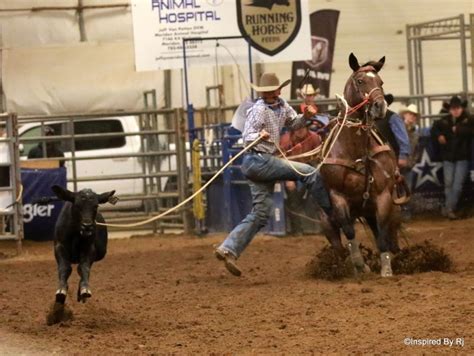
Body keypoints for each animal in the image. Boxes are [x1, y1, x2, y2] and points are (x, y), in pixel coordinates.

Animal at [318, 52, 408, 276]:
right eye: (360, 81)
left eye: (380, 82)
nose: (379, 106)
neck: (355, 150)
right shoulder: (337, 196)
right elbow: (349, 231)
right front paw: (361, 264)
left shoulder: (384, 197)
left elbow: (382, 235)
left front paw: (386, 270)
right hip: (326, 221)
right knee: (338, 244)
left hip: (389, 211)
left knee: (390, 237)